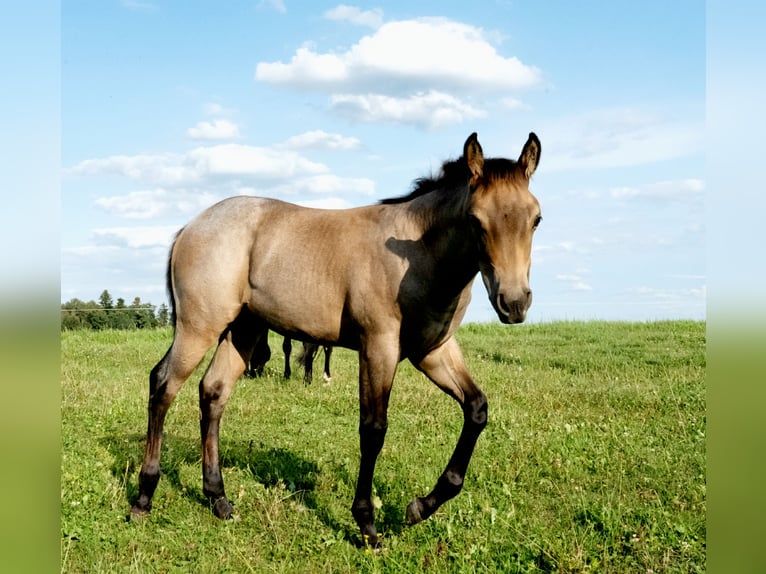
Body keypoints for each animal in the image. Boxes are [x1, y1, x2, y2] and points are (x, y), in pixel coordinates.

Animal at [130, 132, 542, 548]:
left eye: (536, 219)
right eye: (476, 220)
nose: (514, 302)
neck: (418, 256)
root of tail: (190, 226)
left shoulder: (432, 350)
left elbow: (476, 409)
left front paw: (419, 507)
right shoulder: (378, 347)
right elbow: (373, 429)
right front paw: (367, 525)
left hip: (242, 331)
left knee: (213, 393)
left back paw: (218, 499)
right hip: (199, 327)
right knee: (163, 385)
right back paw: (144, 497)